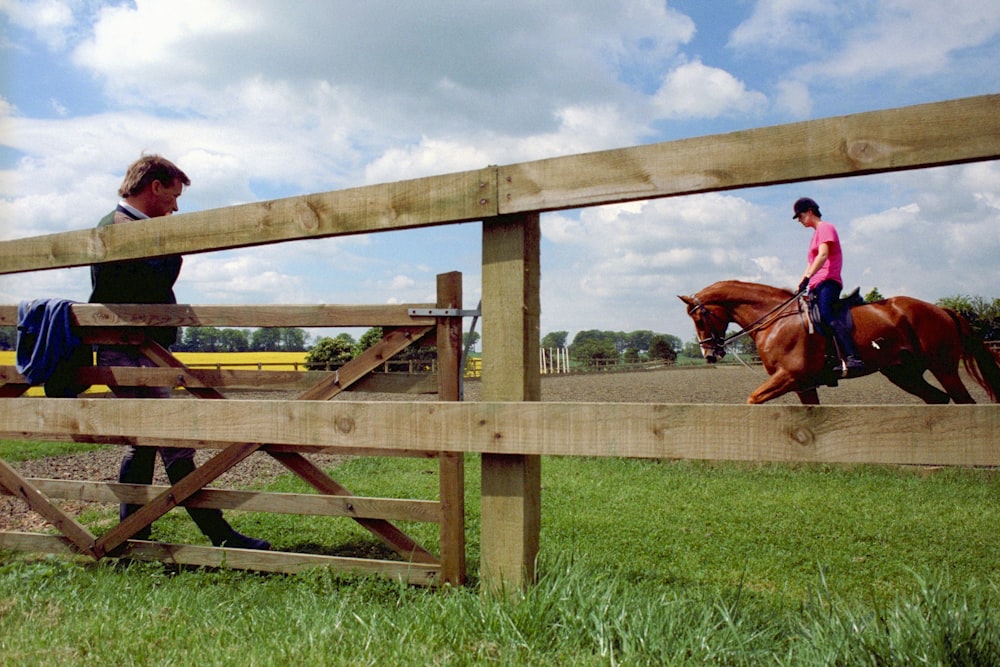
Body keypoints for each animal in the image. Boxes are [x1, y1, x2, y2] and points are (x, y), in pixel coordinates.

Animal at [680, 280, 1000, 404]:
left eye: (700, 319)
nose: (709, 355)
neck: (777, 319)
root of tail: (942, 310)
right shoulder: (803, 384)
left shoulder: (790, 376)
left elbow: (752, 400)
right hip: (903, 373)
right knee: (937, 400)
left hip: (943, 367)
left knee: (964, 402)